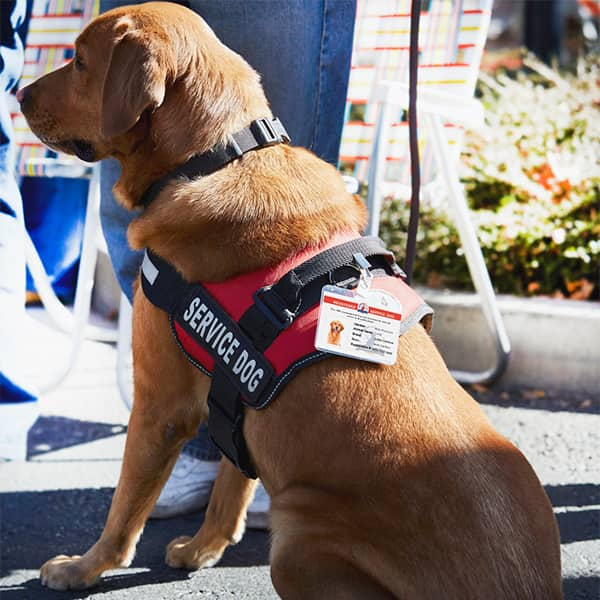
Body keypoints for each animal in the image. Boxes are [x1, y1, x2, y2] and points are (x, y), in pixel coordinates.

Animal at [18, 2, 564, 596]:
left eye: (79, 61)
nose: (18, 95)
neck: (216, 155)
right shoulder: (238, 395)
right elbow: (229, 488)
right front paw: (203, 549)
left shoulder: (161, 405)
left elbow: (124, 511)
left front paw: (83, 568)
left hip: (297, 539)